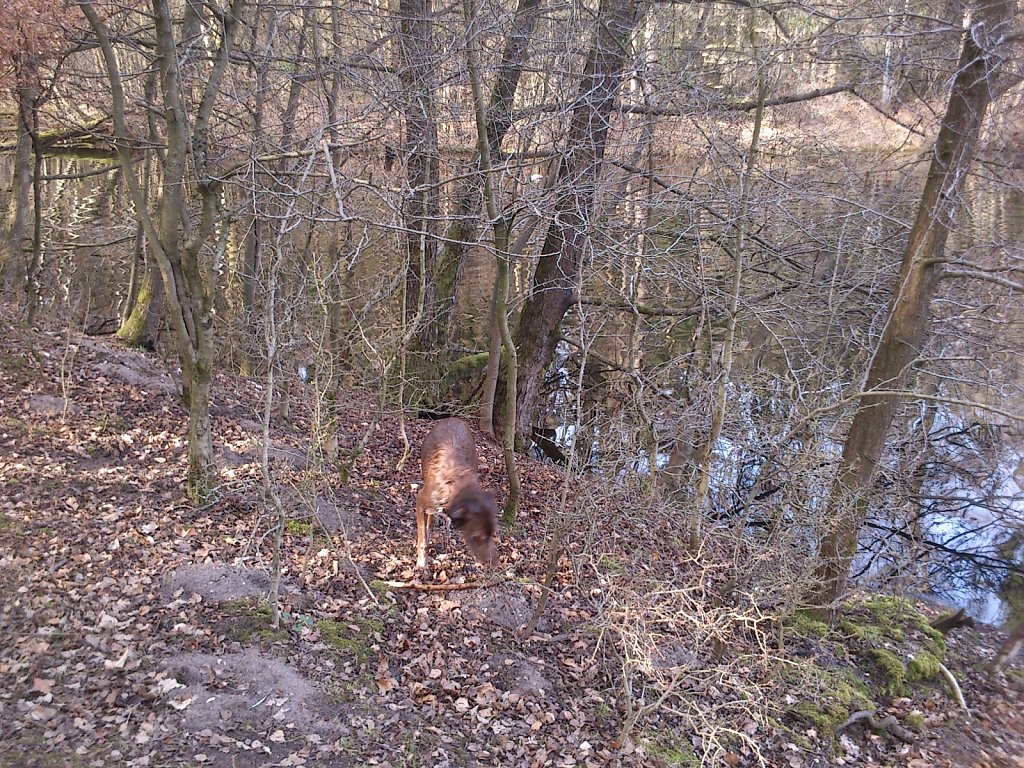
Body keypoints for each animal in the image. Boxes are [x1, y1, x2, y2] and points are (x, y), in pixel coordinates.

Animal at [413, 421, 497, 573]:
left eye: (492, 534)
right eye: (477, 537)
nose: (494, 563)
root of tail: (454, 419)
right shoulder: (420, 500)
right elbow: (422, 538)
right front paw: (421, 563)